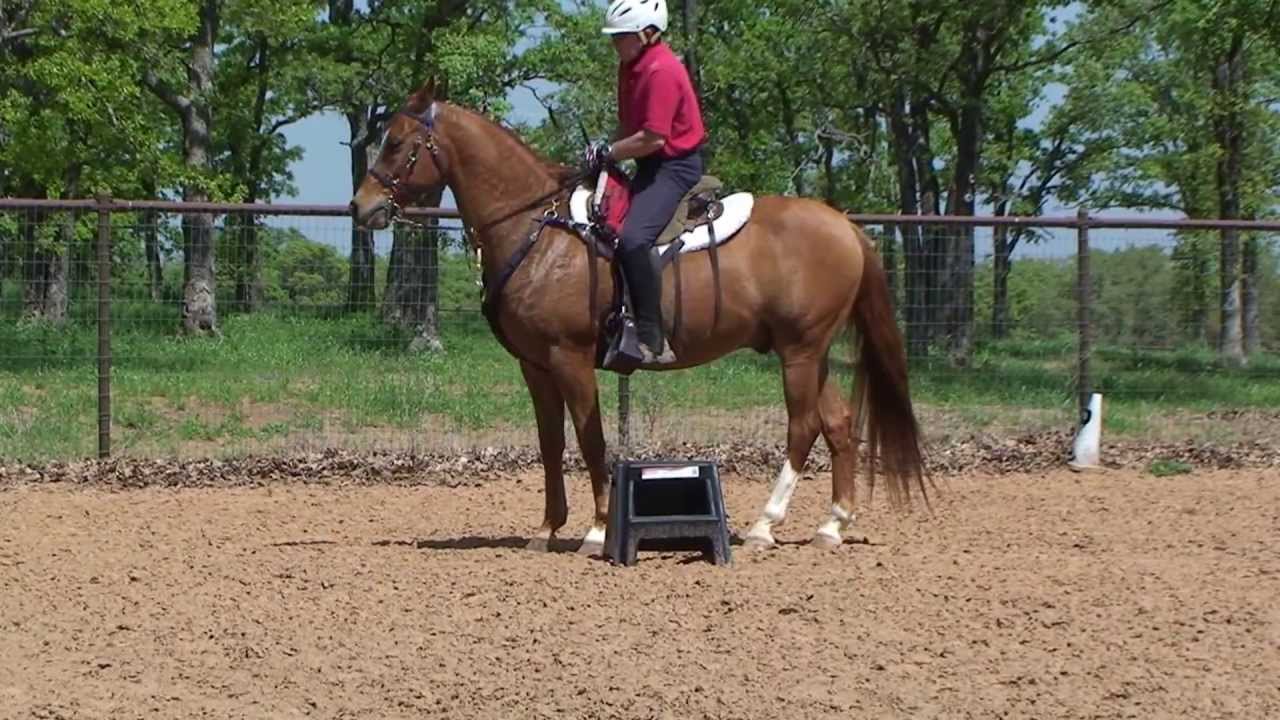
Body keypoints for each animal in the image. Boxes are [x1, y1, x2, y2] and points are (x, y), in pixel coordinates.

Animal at [350, 79, 928, 556]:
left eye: (397, 143)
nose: (361, 207)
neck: (540, 229)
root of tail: (846, 226)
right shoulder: (535, 367)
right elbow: (551, 443)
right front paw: (547, 529)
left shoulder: (570, 359)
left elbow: (591, 441)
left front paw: (597, 530)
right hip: (811, 352)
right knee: (838, 423)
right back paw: (832, 525)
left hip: (800, 353)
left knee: (803, 426)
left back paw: (765, 525)